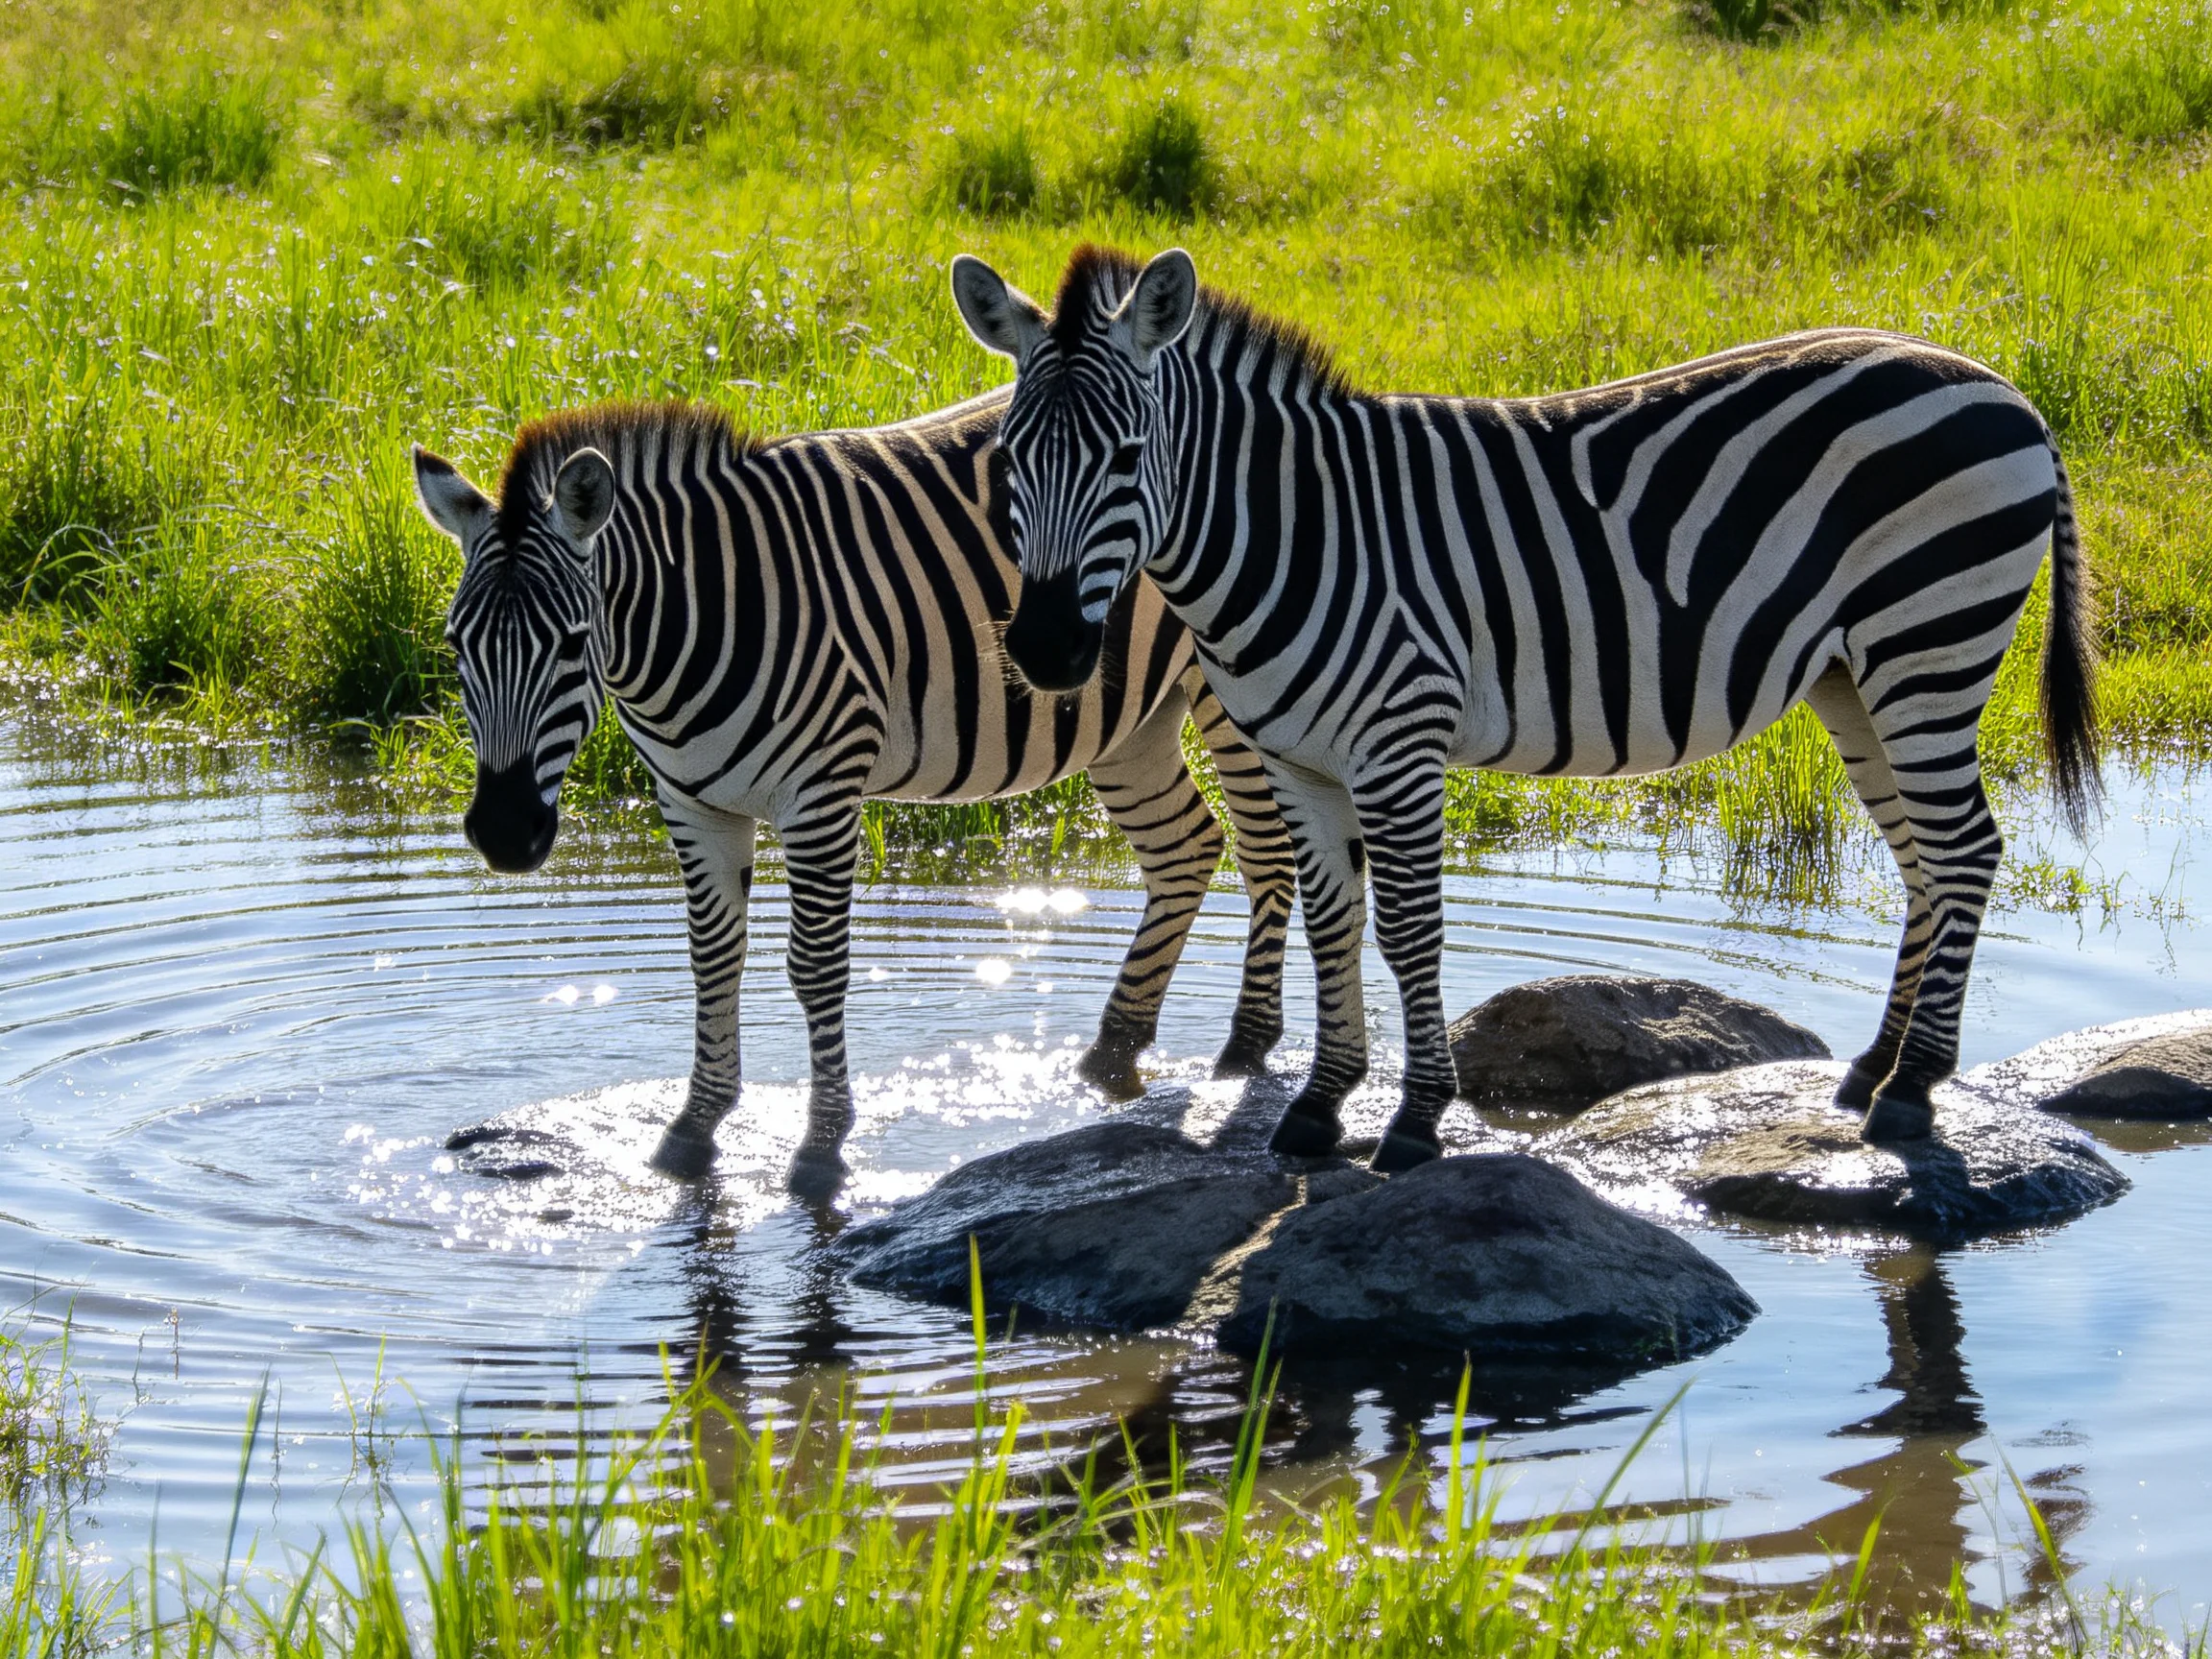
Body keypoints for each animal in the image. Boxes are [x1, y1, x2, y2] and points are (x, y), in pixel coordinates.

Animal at [410, 391, 1296, 1195]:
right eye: (455, 645)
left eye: (571, 643)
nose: (505, 832)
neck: (698, 618)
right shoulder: (693, 804)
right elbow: (712, 959)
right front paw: (694, 1127)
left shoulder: (823, 795)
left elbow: (815, 967)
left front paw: (822, 1145)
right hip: (1125, 715)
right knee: (1185, 848)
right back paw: (1112, 1051)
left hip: (1232, 688)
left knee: (1265, 850)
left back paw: (1245, 1050)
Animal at [951, 243, 2100, 1172]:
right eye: (1009, 462)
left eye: (1125, 458)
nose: (1046, 649)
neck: (1290, 529)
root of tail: (2001, 386)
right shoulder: (1297, 757)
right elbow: (1333, 922)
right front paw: (1319, 1108)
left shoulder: (1399, 741)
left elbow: (1411, 930)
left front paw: (1414, 1121)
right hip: (1855, 677)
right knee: (1923, 860)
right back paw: (1872, 1070)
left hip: (1930, 638)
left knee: (1964, 850)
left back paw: (1914, 1092)